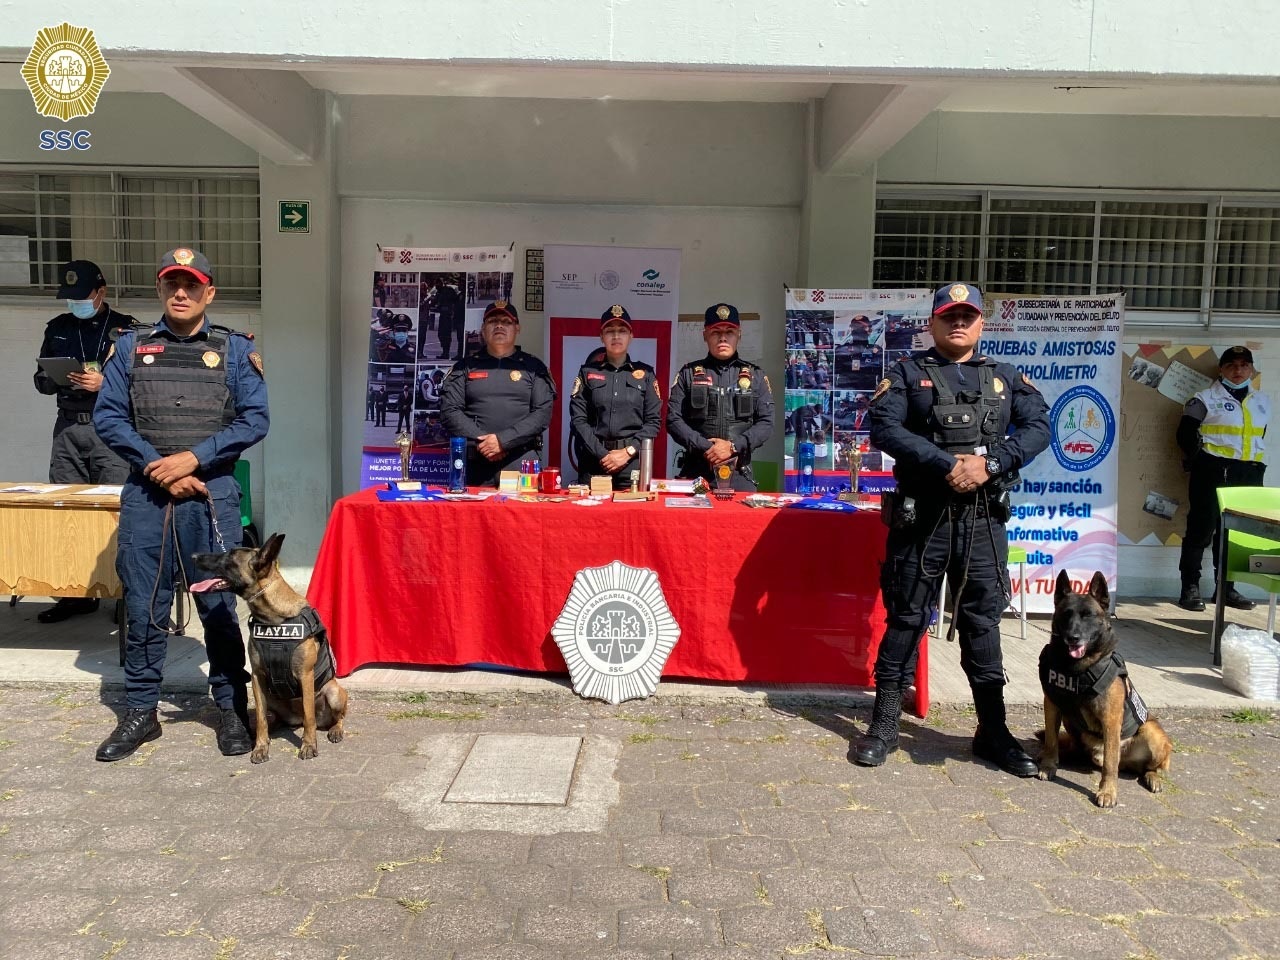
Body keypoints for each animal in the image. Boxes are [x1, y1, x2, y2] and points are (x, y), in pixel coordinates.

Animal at [186, 535, 348, 768]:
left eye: (228, 557)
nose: (193, 556)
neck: (274, 618)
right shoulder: (257, 677)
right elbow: (261, 719)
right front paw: (260, 747)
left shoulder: (305, 676)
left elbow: (309, 716)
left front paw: (308, 745)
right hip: (269, 697)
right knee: (271, 719)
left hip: (334, 693)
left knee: (335, 717)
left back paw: (335, 730)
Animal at [1039, 570, 1172, 814]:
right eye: (1066, 614)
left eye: (1088, 616)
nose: (1073, 637)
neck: (1078, 668)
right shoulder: (1052, 705)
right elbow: (1051, 740)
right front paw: (1048, 764)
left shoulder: (1110, 719)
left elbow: (1110, 764)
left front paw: (1107, 792)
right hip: (1072, 725)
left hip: (1152, 734)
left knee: (1145, 767)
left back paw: (1153, 778)